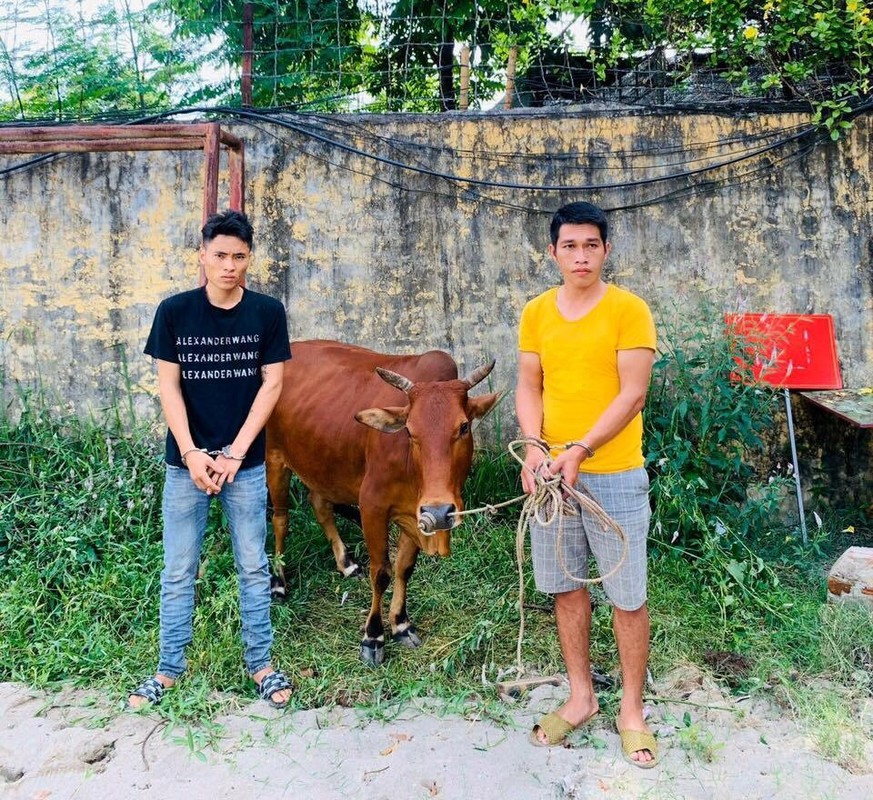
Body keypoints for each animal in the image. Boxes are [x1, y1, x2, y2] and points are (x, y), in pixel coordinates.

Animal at [264, 340, 498, 664]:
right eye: (410, 430)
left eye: (463, 427)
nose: (440, 512)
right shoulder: (372, 508)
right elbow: (382, 573)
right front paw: (373, 636)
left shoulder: (415, 514)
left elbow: (404, 568)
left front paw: (400, 623)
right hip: (274, 457)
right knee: (280, 519)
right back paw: (278, 580)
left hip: (322, 462)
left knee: (319, 504)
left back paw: (346, 563)